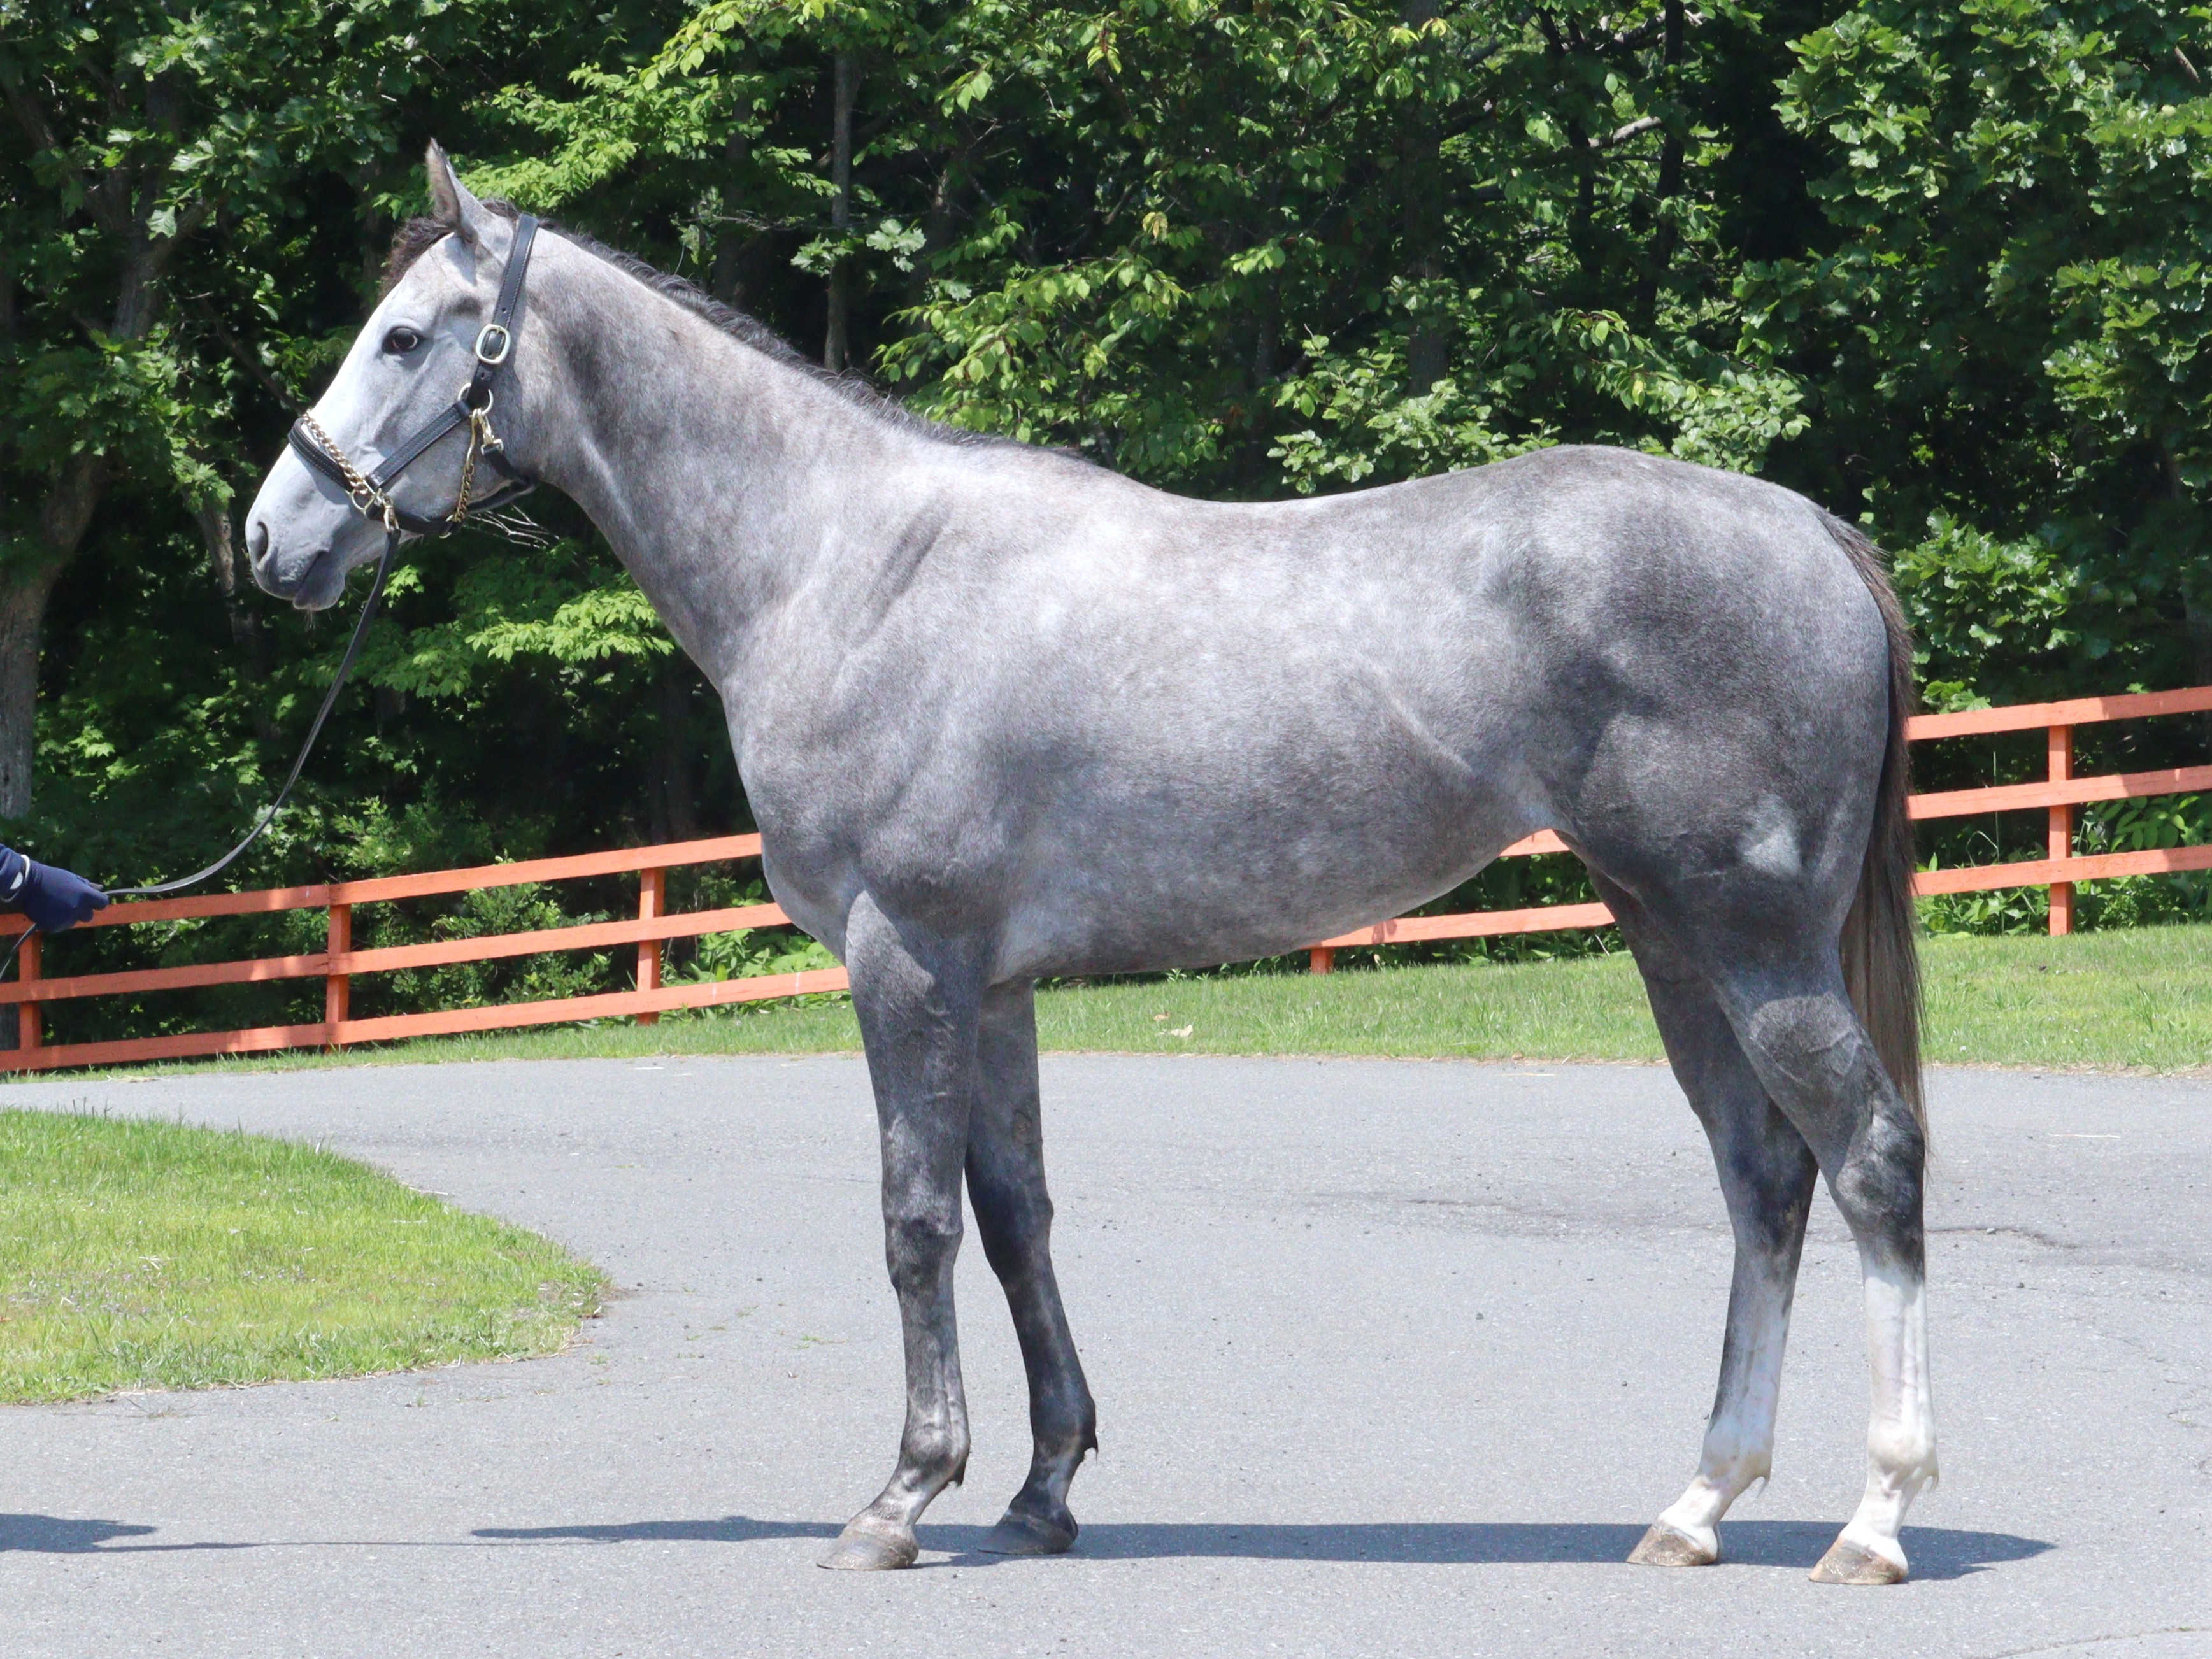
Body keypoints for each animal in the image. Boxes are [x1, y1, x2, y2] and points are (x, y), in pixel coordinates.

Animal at [244, 144, 1936, 1585]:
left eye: (405, 336)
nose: (274, 538)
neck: (848, 566)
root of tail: (1811, 532)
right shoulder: (991, 985)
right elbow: (1014, 1217)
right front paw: (1041, 1486)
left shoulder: (905, 959)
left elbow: (914, 1220)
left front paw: (901, 1496)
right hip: (1666, 935)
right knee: (1761, 1178)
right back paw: (1695, 1505)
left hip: (1752, 941)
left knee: (1868, 1158)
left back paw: (1873, 1519)